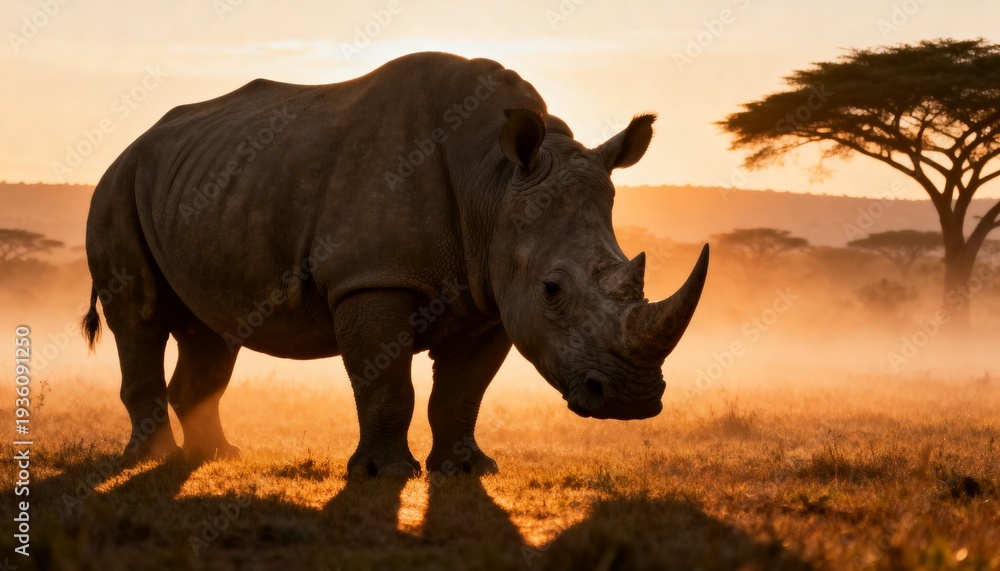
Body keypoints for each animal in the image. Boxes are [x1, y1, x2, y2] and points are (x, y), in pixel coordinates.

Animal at [82, 52, 708, 477]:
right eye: (553, 289)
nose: (631, 400)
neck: (493, 183)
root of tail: (135, 143)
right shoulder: (371, 279)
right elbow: (386, 384)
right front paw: (385, 474)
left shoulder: (492, 294)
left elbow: (462, 391)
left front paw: (469, 470)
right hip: (117, 184)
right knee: (140, 316)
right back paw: (151, 459)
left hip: (204, 189)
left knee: (212, 330)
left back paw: (218, 457)